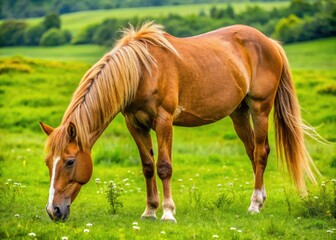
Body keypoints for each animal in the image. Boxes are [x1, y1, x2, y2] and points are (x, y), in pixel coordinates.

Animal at [40, 22, 320, 221]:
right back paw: (261, 200)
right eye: (47, 162)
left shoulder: (164, 121)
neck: (142, 71)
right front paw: (149, 211)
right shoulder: (135, 124)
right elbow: (148, 166)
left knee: (261, 153)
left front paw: (167, 212)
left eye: (70, 161)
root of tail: (269, 42)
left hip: (260, 108)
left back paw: (253, 205)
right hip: (239, 113)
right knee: (253, 152)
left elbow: (164, 167)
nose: (53, 211)